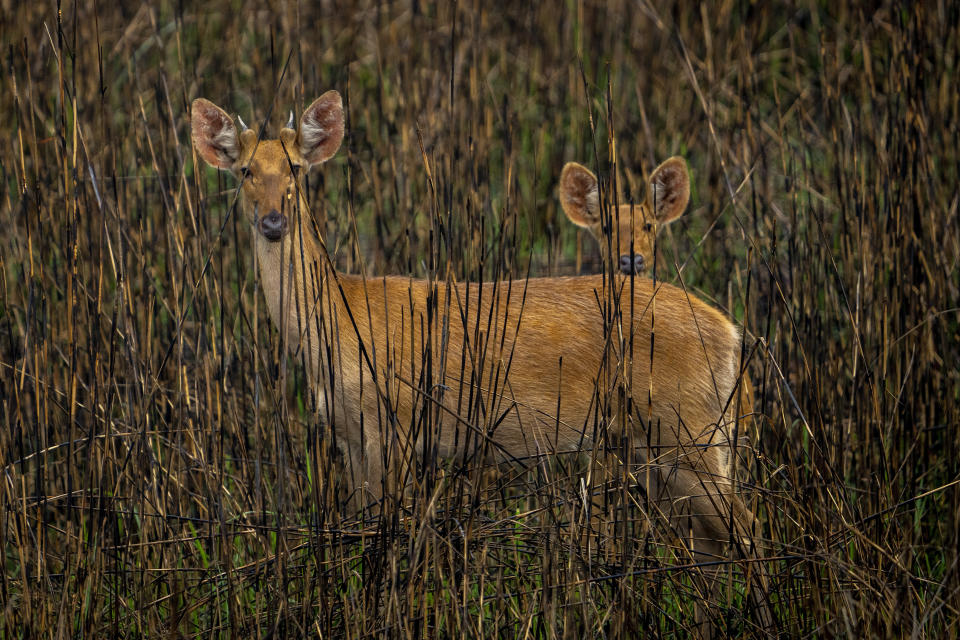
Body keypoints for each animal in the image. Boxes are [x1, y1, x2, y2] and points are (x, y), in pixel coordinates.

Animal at [189, 91, 756, 564]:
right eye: (244, 170)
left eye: (296, 168)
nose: (272, 221)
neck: (341, 321)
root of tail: (733, 335)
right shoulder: (350, 436)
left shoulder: (394, 422)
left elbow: (386, 537)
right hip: (658, 444)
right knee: (713, 545)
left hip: (691, 429)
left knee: (746, 530)